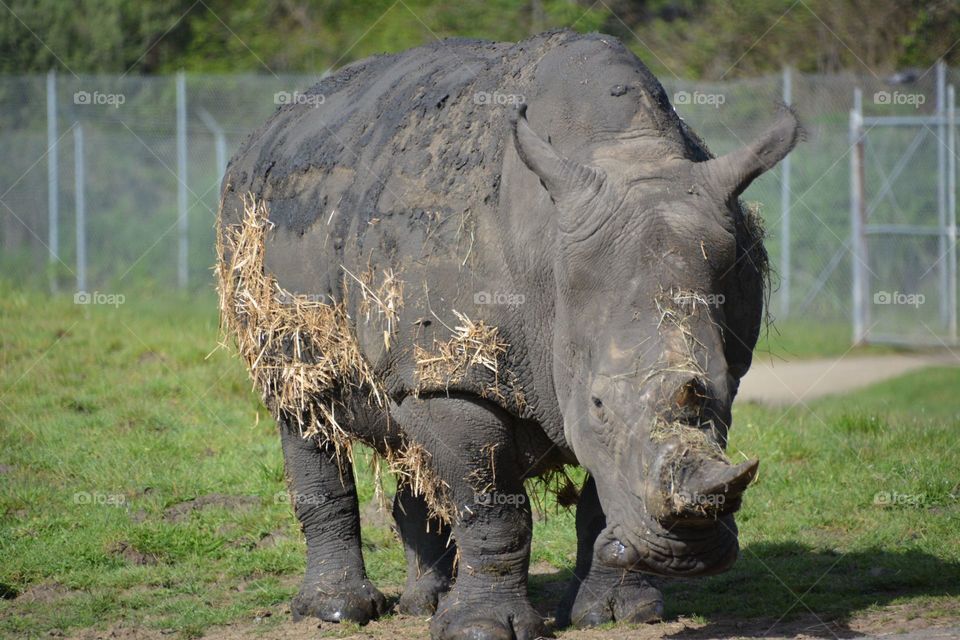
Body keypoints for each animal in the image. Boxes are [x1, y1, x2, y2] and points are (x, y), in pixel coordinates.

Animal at [217, 29, 799, 640]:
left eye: (725, 393)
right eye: (598, 403)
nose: (687, 551)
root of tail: (266, 131)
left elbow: (599, 494)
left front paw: (619, 613)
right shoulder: (455, 372)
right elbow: (493, 505)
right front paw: (482, 628)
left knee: (410, 441)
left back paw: (425, 605)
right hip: (258, 242)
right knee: (302, 406)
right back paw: (338, 610)